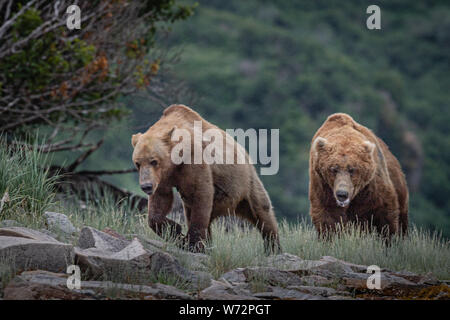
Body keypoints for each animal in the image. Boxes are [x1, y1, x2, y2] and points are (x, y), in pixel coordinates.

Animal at [131, 105, 282, 252]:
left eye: (154, 161)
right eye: (137, 163)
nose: (146, 186)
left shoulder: (193, 162)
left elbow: (200, 193)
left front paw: (192, 243)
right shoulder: (163, 177)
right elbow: (160, 201)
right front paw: (176, 231)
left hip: (245, 183)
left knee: (262, 212)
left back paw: (273, 248)